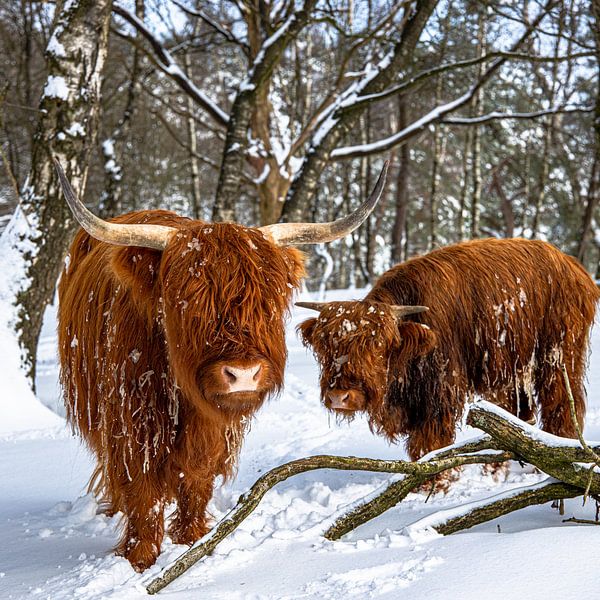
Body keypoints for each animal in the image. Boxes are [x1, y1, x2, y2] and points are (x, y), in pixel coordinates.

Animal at [55, 161, 390, 572]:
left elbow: (196, 479)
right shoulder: (131, 423)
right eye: (188, 298)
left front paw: (193, 541)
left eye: (268, 299)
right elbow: (142, 491)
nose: (242, 373)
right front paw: (140, 560)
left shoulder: (210, 430)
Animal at [298, 239, 596, 464]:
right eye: (325, 345)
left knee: (562, 403)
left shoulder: (439, 393)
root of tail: (572, 265)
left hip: (558, 356)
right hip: (511, 365)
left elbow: (429, 443)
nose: (339, 397)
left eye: (377, 345)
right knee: (518, 413)